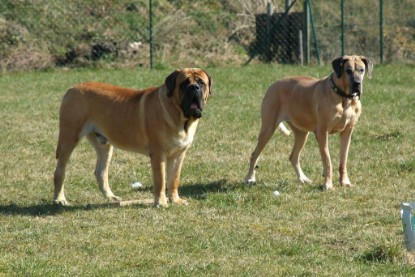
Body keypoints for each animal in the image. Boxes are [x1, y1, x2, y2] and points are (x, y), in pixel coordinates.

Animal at [53, 68, 213, 206]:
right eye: (184, 83)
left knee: (100, 172)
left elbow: (174, 179)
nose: (194, 88)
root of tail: (72, 88)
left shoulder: (178, 154)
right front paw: (161, 203)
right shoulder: (158, 154)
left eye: (201, 83)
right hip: (68, 138)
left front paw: (175, 200)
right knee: (60, 171)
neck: (179, 117)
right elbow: (161, 180)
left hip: (104, 146)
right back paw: (59, 199)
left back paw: (110, 197)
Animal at [247, 55, 374, 190]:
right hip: (268, 128)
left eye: (361, 70)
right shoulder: (322, 133)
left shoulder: (347, 131)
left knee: (293, 156)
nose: (357, 84)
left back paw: (302, 178)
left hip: (302, 133)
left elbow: (343, 160)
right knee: (255, 154)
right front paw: (328, 184)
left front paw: (344, 181)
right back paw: (250, 178)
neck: (343, 97)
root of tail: (273, 84)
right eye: (348, 70)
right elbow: (327, 161)